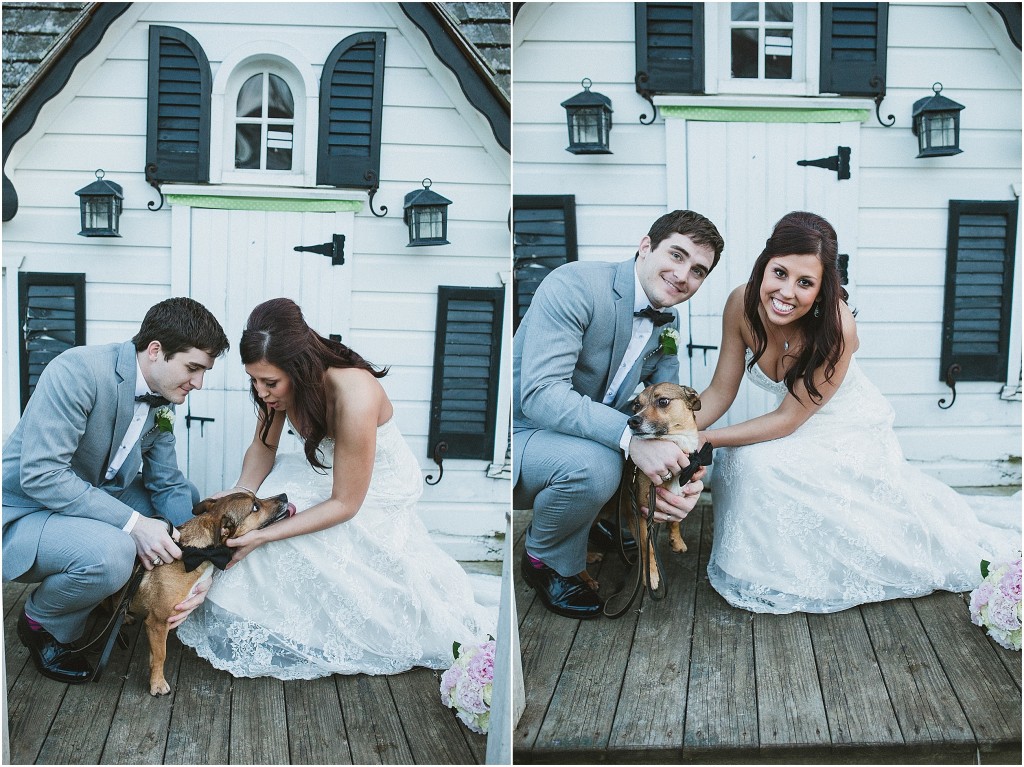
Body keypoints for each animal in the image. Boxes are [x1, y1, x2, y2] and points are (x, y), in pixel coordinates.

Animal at [126, 491, 296, 692]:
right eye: (255, 507)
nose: (284, 495)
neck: (199, 553)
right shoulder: (157, 622)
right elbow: (161, 655)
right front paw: (158, 683)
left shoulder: (156, 626)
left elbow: (155, 655)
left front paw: (154, 675)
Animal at [622, 380, 704, 585]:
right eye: (636, 405)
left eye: (663, 401)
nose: (632, 421)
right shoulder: (639, 514)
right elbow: (647, 546)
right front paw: (650, 575)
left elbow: (675, 520)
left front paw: (677, 540)